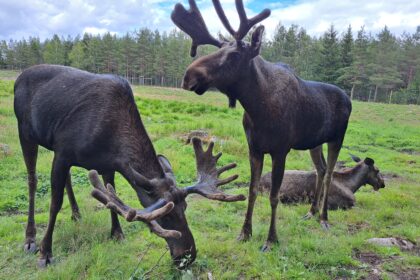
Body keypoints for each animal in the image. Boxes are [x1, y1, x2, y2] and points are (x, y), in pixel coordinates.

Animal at [13, 64, 243, 268]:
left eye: (185, 207)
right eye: (165, 216)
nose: (188, 256)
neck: (109, 141)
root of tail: (19, 77)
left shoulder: (105, 164)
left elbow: (111, 197)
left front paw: (117, 233)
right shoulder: (63, 153)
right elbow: (55, 203)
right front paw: (45, 251)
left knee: (66, 178)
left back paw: (76, 214)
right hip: (25, 133)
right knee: (32, 180)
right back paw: (30, 238)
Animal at [171, 0, 352, 250]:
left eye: (235, 54)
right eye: (219, 49)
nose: (188, 76)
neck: (258, 108)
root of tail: (349, 98)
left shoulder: (280, 150)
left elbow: (274, 196)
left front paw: (271, 239)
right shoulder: (254, 148)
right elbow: (252, 190)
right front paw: (245, 232)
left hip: (337, 137)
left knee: (330, 174)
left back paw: (324, 218)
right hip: (314, 142)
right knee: (321, 169)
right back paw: (311, 211)